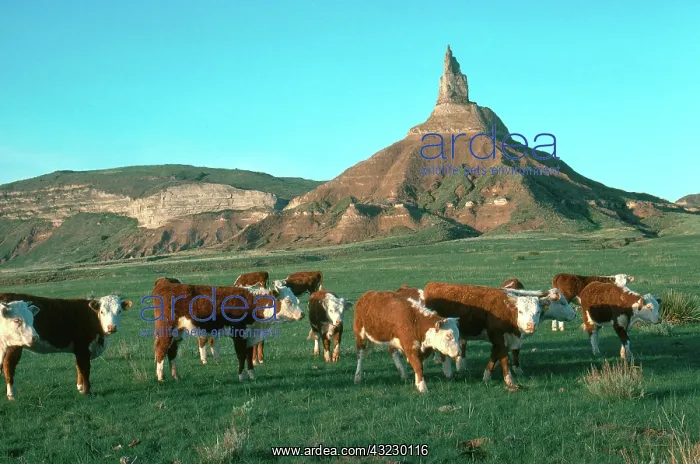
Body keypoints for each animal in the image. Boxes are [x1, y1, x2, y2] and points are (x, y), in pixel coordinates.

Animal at [0, 293, 131, 399]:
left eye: (119, 311)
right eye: (102, 312)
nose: (111, 327)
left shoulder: (79, 350)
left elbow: (78, 367)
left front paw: (80, 388)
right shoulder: (82, 348)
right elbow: (85, 368)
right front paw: (87, 391)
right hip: (14, 345)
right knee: (8, 364)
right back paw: (11, 394)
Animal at [149, 279, 303, 382]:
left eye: (297, 299)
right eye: (288, 301)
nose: (302, 314)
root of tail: (164, 284)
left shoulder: (250, 335)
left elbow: (249, 355)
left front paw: (252, 374)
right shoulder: (238, 333)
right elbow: (241, 355)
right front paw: (241, 376)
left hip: (177, 332)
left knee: (172, 351)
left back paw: (176, 376)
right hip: (166, 329)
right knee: (161, 349)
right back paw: (161, 377)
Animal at [421, 283, 561, 390]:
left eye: (538, 312)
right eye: (520, 311)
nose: (531, 325)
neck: (506, 311)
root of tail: (432, 285)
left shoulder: (500, 340)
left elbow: (494, 356)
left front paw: (487, 375)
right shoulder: (498, 336)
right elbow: (503, 357)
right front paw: (509, 380)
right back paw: (446, 371)